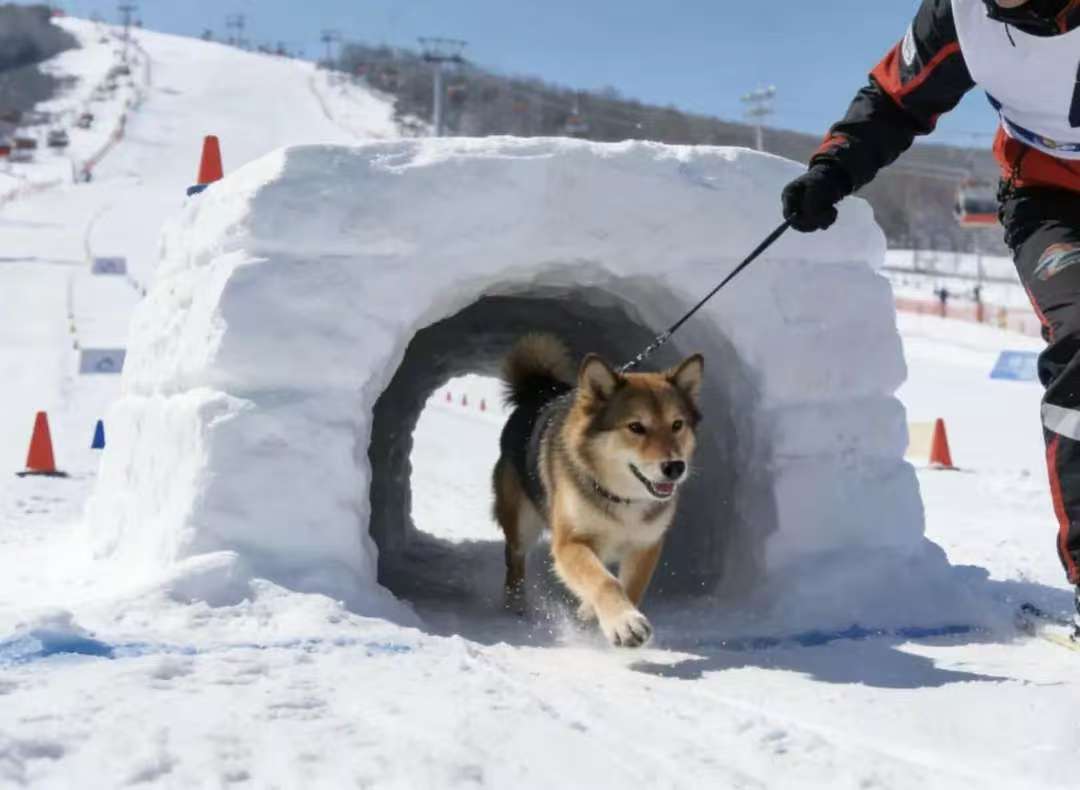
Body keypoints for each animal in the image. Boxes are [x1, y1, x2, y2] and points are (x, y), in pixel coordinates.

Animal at [492, 333, 704, 647]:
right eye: (636, 427)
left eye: (677, 424)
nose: (675, 467)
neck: (624, 500)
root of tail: (538, 389)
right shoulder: (570, 542)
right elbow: (604, 580)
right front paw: (625, 622)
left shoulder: (646, 544)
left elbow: (630, 586)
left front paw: (593, 613)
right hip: (521, 520)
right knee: (514, 558)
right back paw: (515, 603)